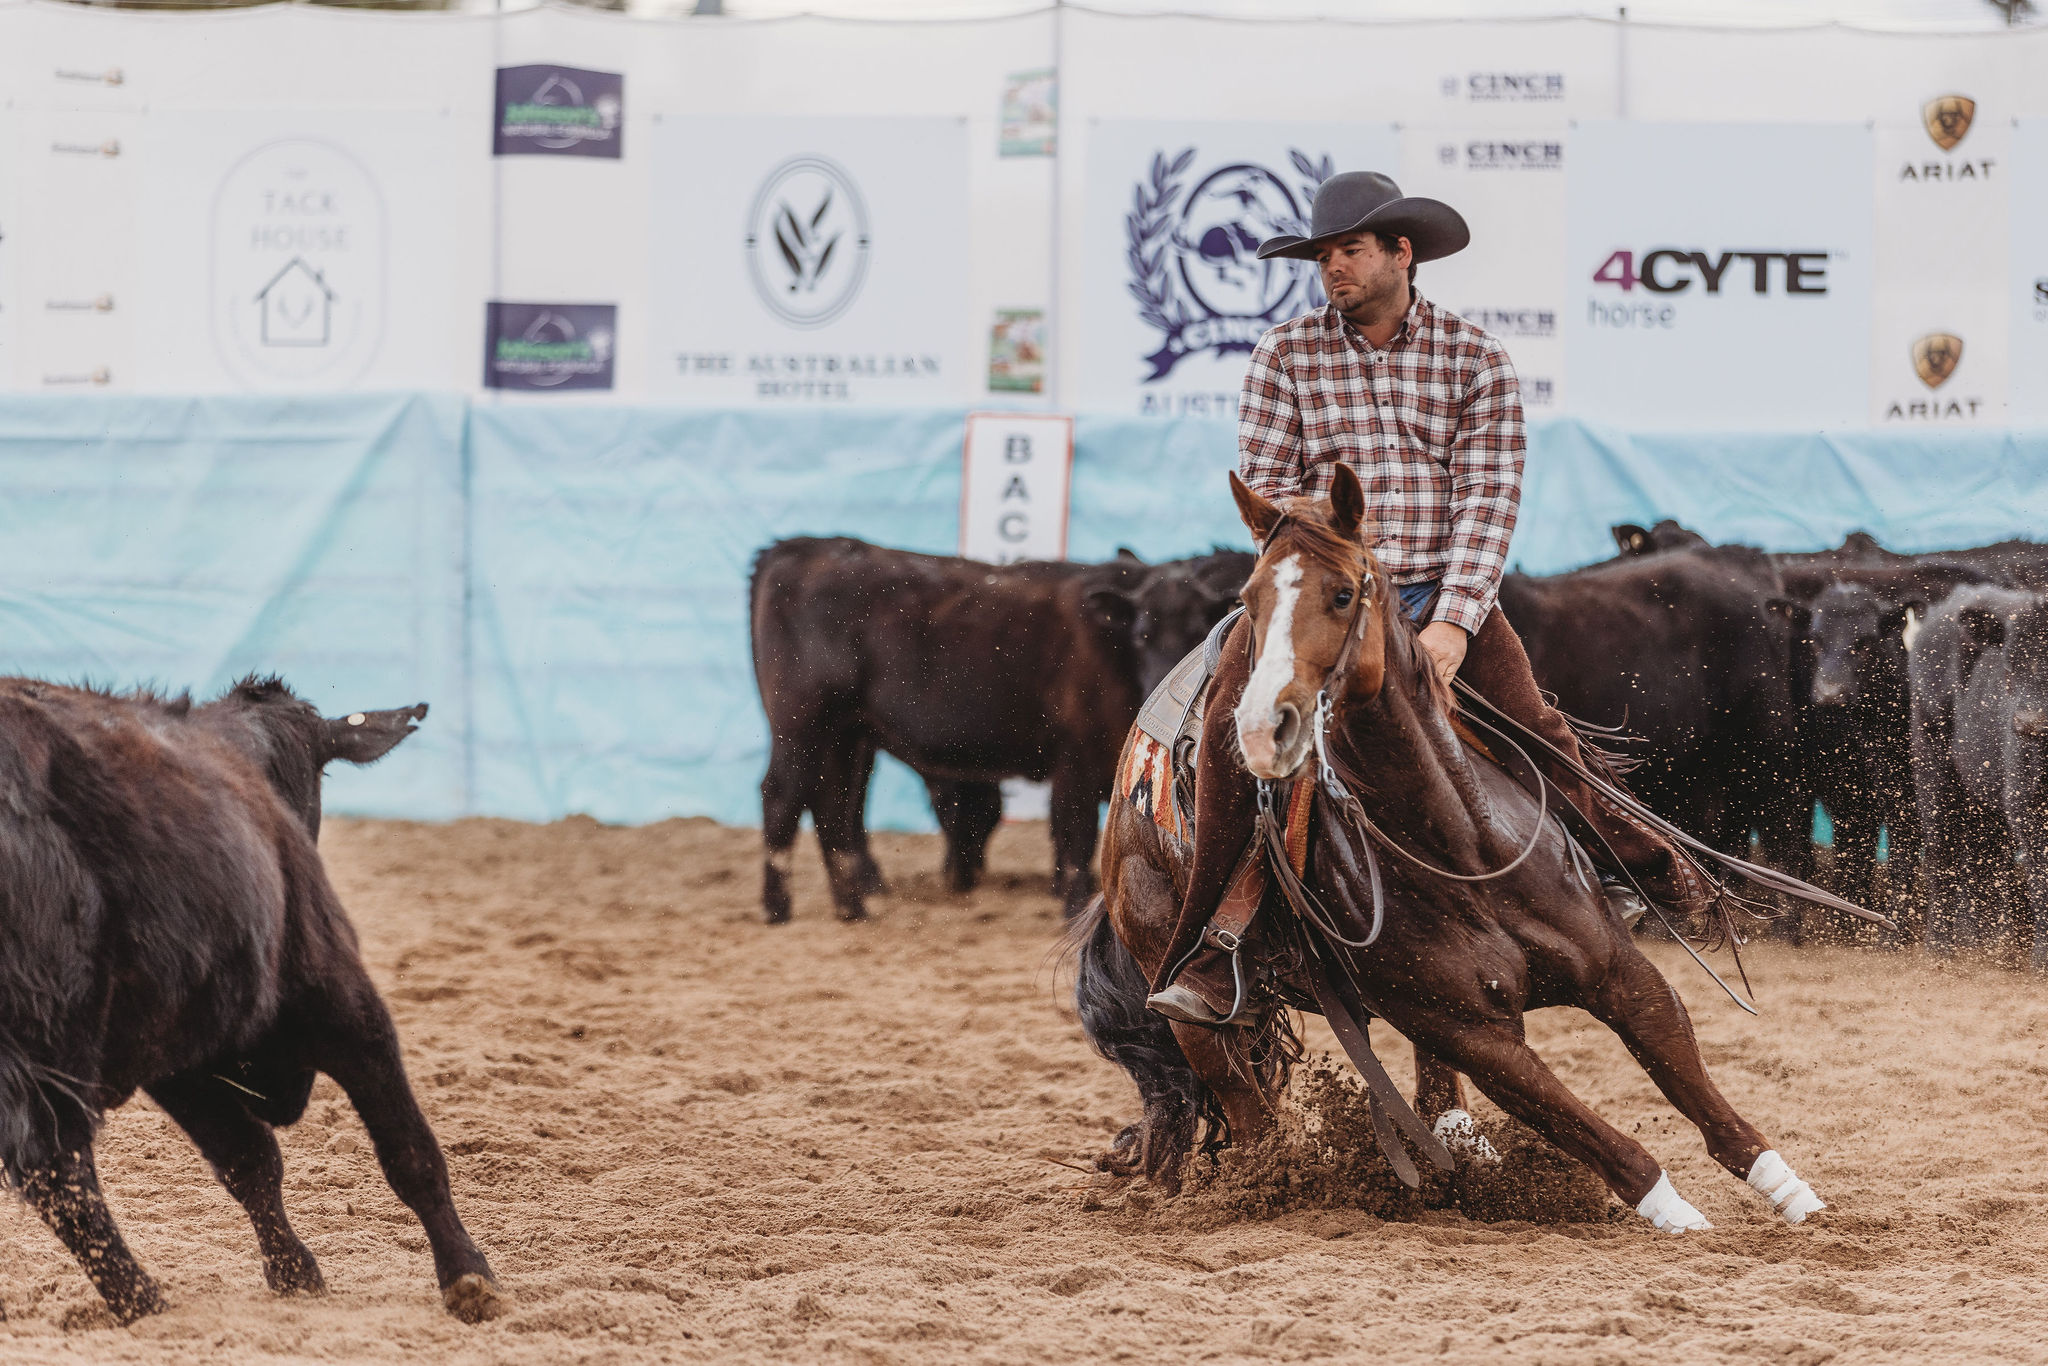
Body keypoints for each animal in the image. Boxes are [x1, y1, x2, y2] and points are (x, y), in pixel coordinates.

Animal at [0, 676, 503, 1324]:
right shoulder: (341, 997)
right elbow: (410, 1153)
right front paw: (468, 1275)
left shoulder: (178, 1060)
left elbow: (248, 1162)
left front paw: (294, 1273)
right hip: (53, 1025)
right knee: (55, 1163)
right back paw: (144, 1303)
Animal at [750, 539, 1248, 923]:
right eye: (1142, 635)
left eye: (1198, 630)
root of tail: (797, 549)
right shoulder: (1076, 759)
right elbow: (1075, 838)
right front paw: (1072, 909)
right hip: (801, 724)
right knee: (783, 796)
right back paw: (778, 907)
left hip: (844, 735)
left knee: (832, 804)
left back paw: (851, 907)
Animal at [1075, 465, 1827, 1232]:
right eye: (1250, 601)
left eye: (1342, 593)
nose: (1259, 727)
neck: (1456, 847)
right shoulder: (1473, 1032)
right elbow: (1603, 1141)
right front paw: (1678, 1215)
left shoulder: (1617, 969)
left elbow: (1685, 1068)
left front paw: (1791, 1191)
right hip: (1195, 997)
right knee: (1247, 1107)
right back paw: (1273, 1181)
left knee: (1433, 1093)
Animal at [1908, 586, 2048, 972]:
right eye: (2010, 665)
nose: (2030, 723)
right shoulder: (2026, 804)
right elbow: (2041, 878)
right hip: (1932, 767)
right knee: (1941, 853)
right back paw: (1941, 946)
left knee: (1982, 859)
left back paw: (1987, 945)